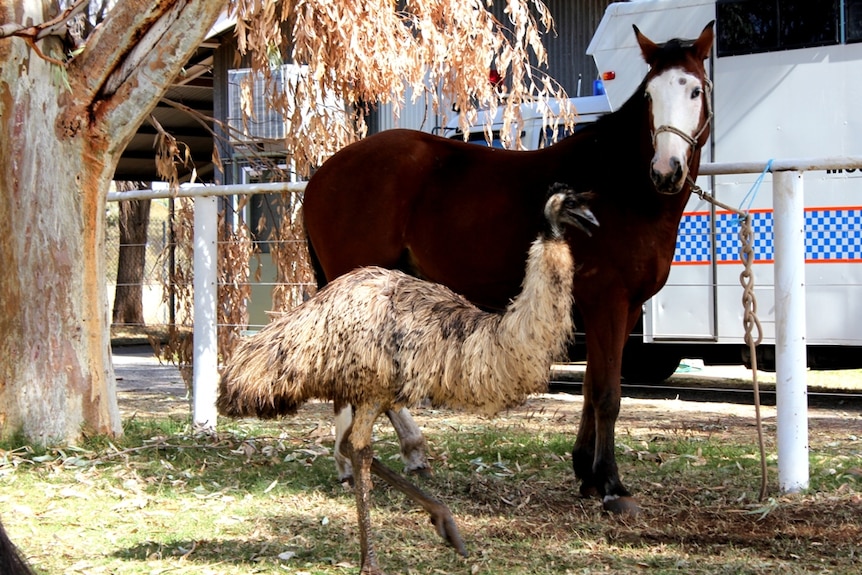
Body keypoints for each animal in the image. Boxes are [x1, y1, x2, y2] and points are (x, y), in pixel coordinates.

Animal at [304, 23, 716, 516]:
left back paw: (395, 455)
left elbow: (591, 388)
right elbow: (607, 394)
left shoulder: (621, 307)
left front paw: (587, 474)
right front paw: (613, 487)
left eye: (695, 90)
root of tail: (322, 174)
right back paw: (358, 459)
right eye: (651, 95)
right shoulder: (609, 303)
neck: (618, 188)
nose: (666, 170)